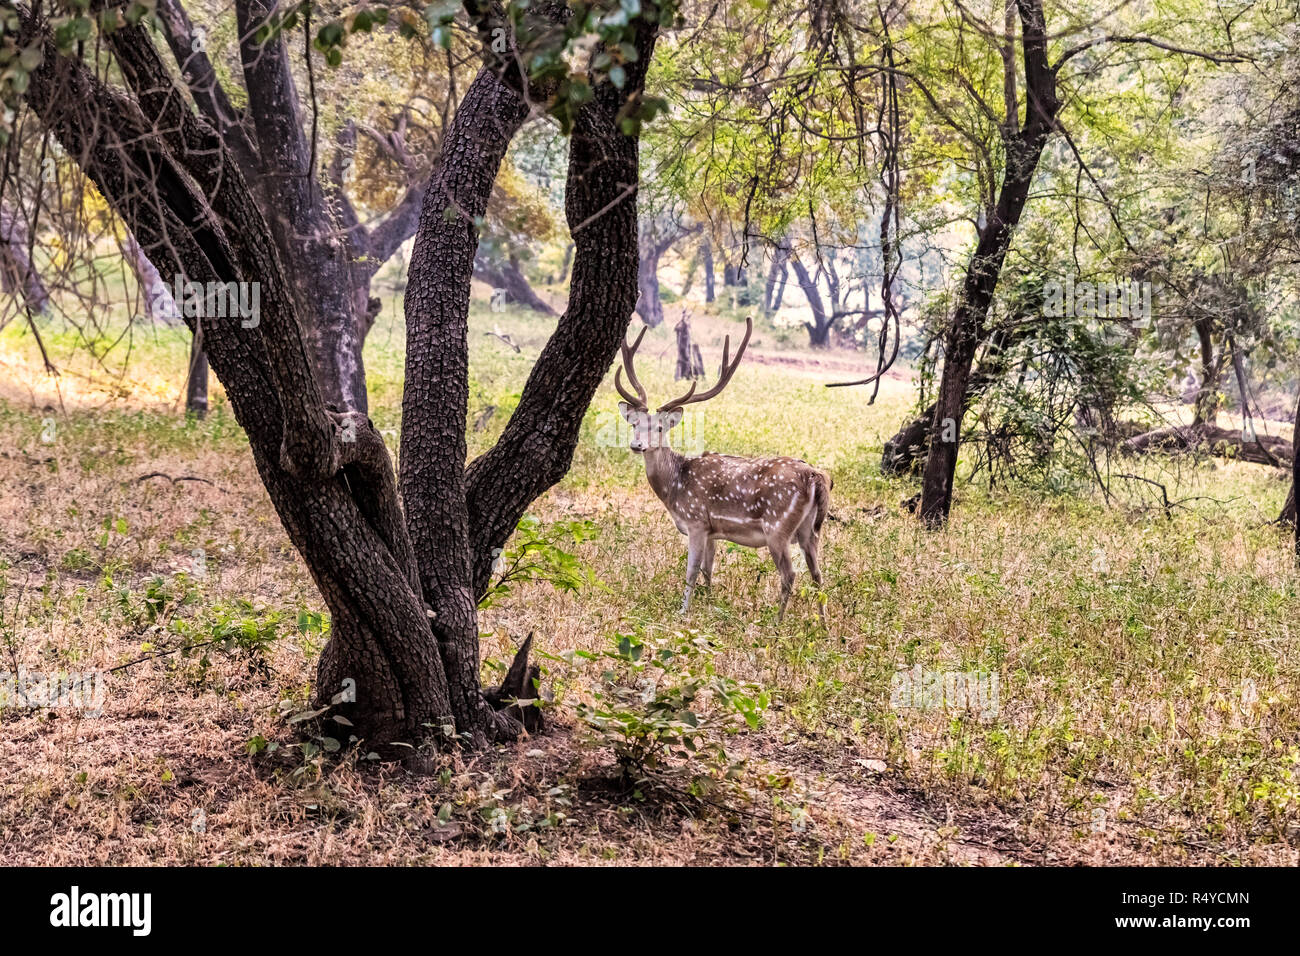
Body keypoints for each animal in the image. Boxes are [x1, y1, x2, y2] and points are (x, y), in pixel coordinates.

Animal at [616, 317, 832, 624]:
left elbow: (691, 571)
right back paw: (823, 626)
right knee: (818, 574)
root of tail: (815, 476)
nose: (637, 445)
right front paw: (710, 605)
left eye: (659, 428)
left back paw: (776, 624)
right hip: (809, 530)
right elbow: (709, 570)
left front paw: (683, 611)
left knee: (790, 574)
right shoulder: (712, 531)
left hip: (777, 526)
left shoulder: (695, 521)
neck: (675, 486)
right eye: (634, 424)